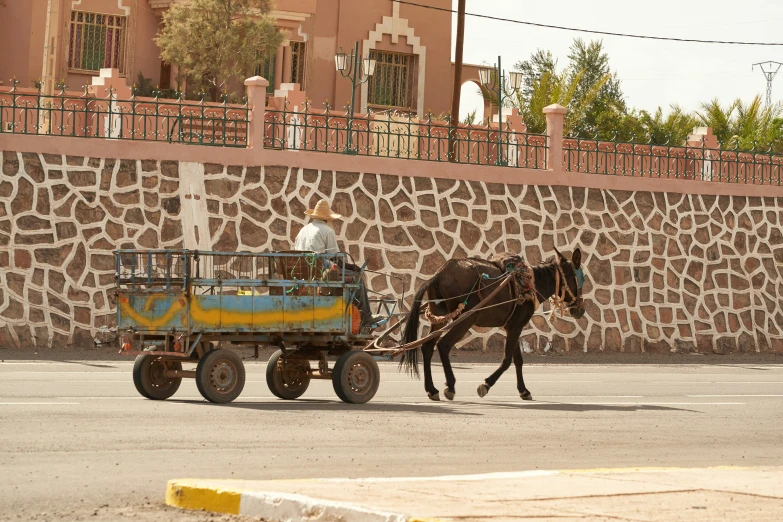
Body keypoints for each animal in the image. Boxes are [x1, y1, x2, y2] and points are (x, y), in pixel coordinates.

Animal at [402, 246, 584, 400]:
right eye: (579, 279)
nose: (580, 310)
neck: (530, 283)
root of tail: (438, 275)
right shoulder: (516, 326)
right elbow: (507, 360)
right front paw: (486, 385)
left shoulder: (512, 327)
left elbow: (518, 360)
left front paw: (524, 390)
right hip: (465, 320)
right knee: (443, 345)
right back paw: (451, 387)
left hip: (440, 316)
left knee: (427, 346)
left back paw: (432, 389)